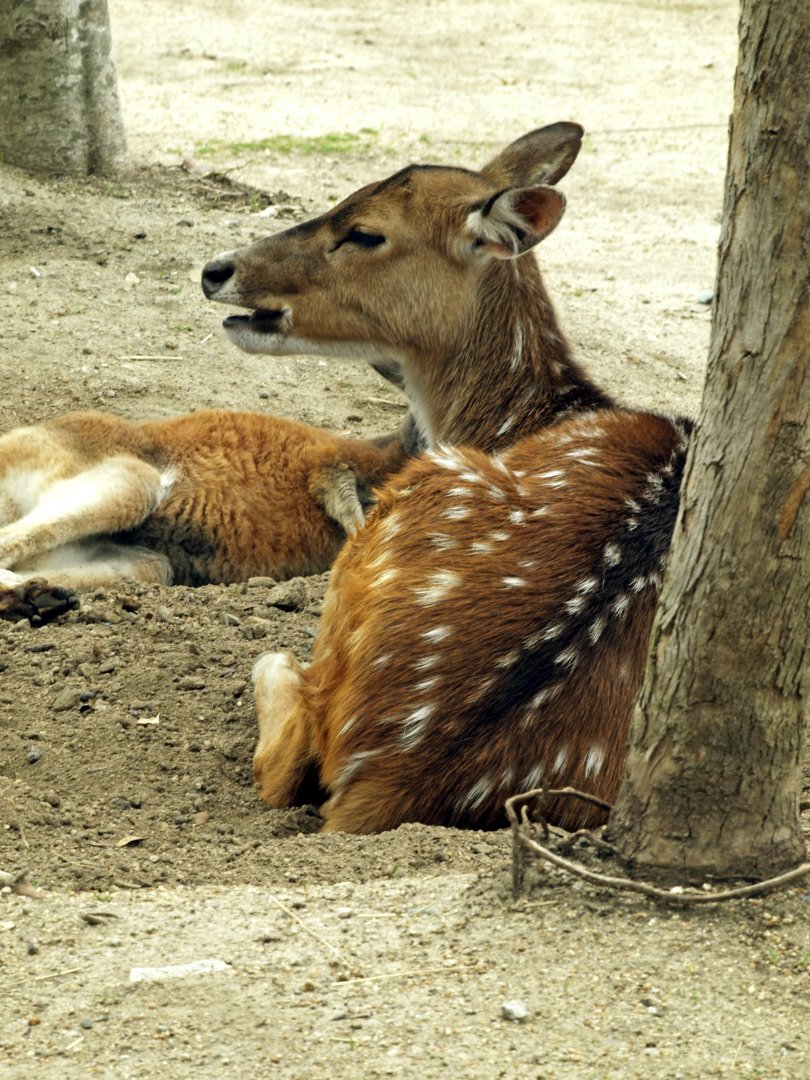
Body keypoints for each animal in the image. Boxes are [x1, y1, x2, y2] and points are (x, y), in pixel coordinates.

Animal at [201, 121, 693, 833]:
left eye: (365, 231)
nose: (216, 270)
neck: (523, 420)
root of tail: (385, 781)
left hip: (398, 509)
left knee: (285, 753)